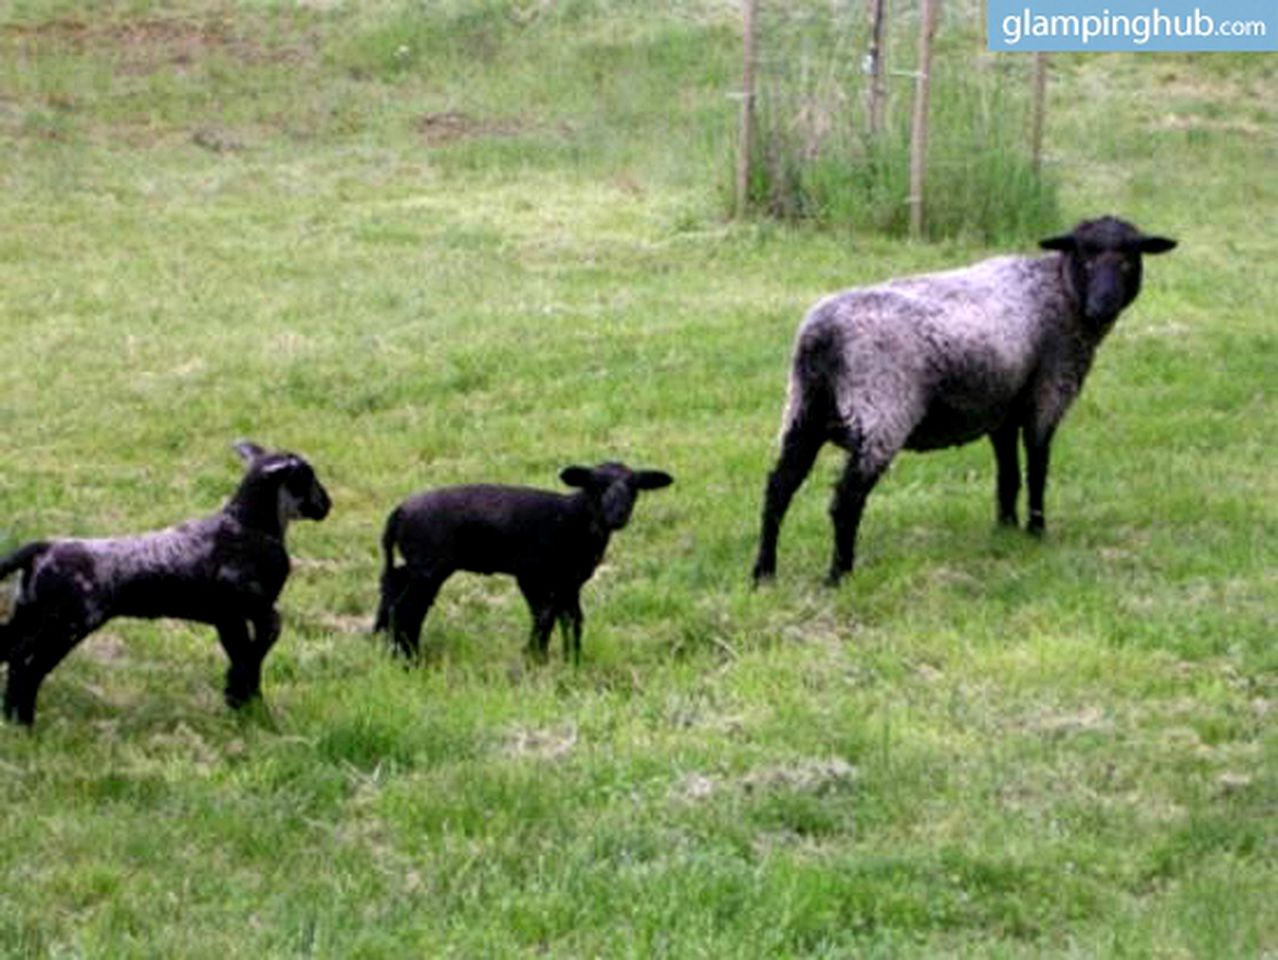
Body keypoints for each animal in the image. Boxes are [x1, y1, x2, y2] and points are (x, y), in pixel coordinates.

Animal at [746, 217, 1175, 590]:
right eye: (1084, 256)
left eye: (1129, 258)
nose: (1102, 306)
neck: (1059, 290)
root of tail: (821, 338)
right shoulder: (1048, 393)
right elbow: (1038, 465)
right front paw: (1036, 530)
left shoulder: (1001, 408)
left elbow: (1009, 473)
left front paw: (1005, 528)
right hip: (881, 410)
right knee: (845, 501)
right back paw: (839, 575)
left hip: (802, 411)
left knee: (778, 489)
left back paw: (764, 573)